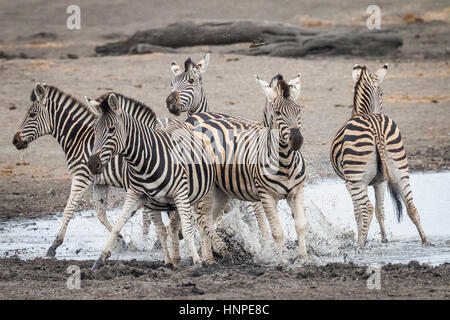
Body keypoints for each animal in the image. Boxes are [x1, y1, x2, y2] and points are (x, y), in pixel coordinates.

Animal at [11, 83, 174, 264]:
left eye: (32, 114)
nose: (15, 141)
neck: (79, 139)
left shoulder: (81, 176)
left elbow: (69, 209)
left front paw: (54, 246)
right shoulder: (100, 182)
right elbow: (101, 215)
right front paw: (120, 241)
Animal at [86, 91, 230, 268]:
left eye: (112, 129)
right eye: (94, 128)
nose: (93, 164)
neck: (143, 161)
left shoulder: (180, 194)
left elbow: (188, 231)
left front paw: (197, 262)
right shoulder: (136, 194)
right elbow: (119, 225)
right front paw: (101, 258)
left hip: (202, 194)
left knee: (204, 222)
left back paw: (209, 257)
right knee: (175, 226)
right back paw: (176, 260)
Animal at [185, 75, 308, 260]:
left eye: (298, 110)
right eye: (278, 113)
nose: (297, 140)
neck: (286, 163)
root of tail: (195, 118)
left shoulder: (297, 192)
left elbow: (300, 226)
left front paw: (304, 258)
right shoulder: (266, 196)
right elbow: (276, 232)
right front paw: (280, 260)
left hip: (221, 191)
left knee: (210, 220)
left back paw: (212, 255)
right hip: (206, 188)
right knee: (202, 220)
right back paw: (208, 258)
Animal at [330, 63, 428, 246]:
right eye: (381, 94)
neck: (362, 112)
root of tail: (376, 128)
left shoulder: (348, 182)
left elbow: (357, 212)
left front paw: (362, 237)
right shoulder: (380, 181)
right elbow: (381, 211)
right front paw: (384, 239)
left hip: (356, 178)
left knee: (367, 209)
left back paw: (360, 245)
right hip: (399, 168)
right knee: (411, 206)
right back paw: (425, 240)